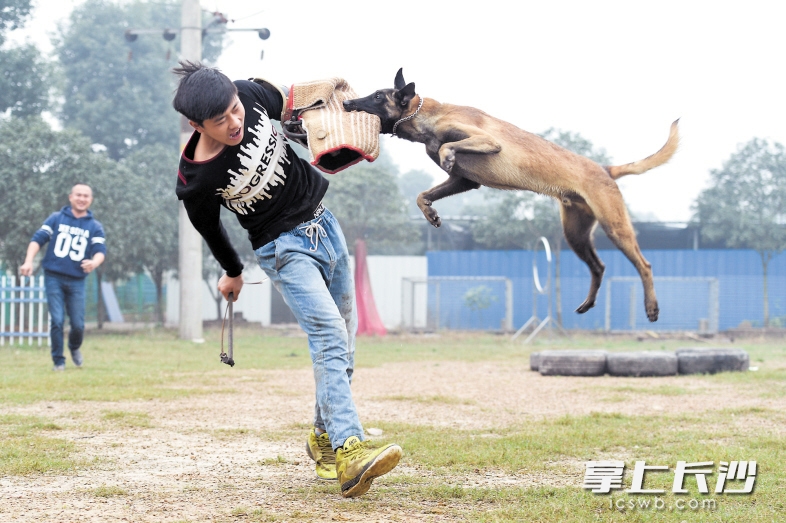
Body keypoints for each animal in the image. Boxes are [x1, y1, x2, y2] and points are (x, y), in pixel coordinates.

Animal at [344, 68, 680, 324]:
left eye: (377, 96)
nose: (346, 103)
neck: (428, 115)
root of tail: (605, 169)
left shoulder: (488, 143)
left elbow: (448, 147)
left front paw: (448, 155)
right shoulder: (464, 182)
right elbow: (422, 194)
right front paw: (430, 212)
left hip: (615, 227)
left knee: (644, 265)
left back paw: (652, 307)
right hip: (574, 234)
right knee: (598, 267)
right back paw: (588, 304)